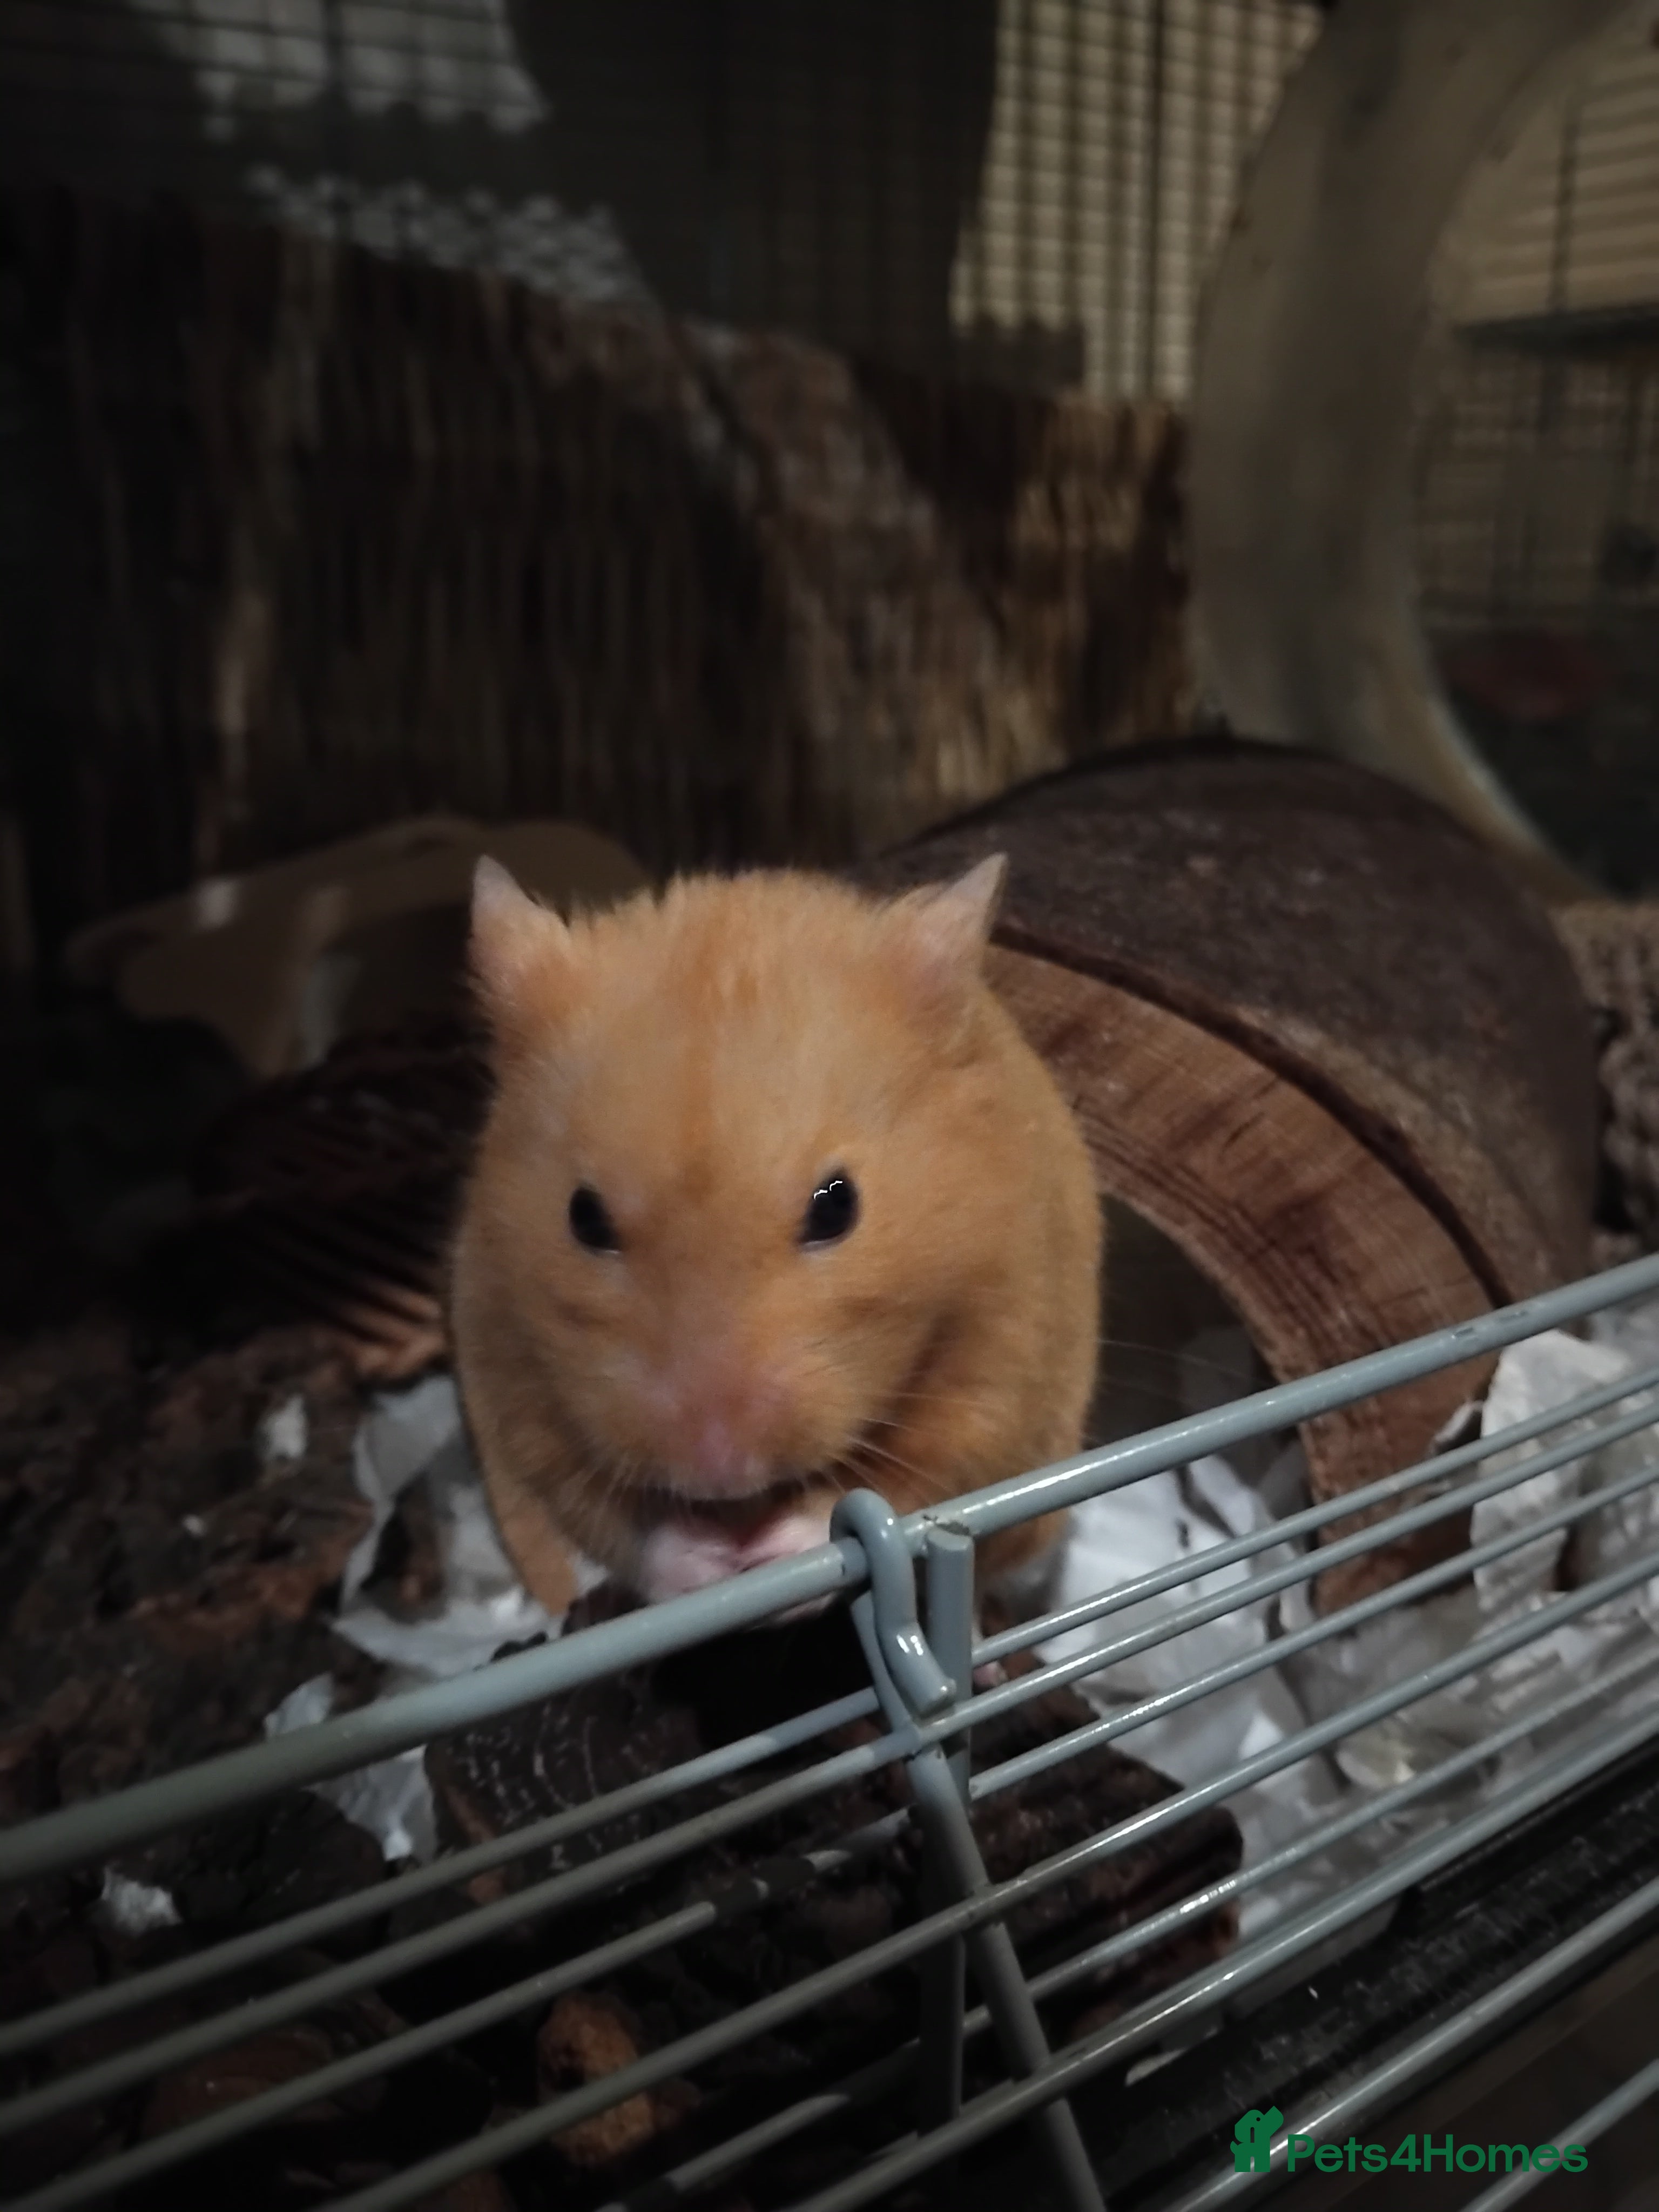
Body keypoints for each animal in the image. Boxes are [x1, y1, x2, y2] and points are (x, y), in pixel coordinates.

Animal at [449, 854, 1103, 1613]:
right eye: (583, 1216)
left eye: (837, 1208)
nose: (720, 1470)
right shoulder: (516, 1381)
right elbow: (622, 1524)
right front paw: (711, 1564)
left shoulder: (999, 1374)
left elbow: (906, 1486)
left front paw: (781, 1553)